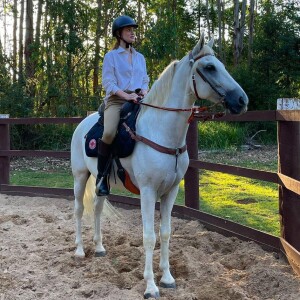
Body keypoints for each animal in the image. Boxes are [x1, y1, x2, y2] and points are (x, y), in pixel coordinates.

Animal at [71, 34, 248, 298]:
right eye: (209, 67)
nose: (241, 100)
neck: (162, 132)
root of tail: (82, 123)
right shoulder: (147, 192)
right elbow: (149, 236)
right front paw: (151, 286)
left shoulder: (170, 191)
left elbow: (165, 233)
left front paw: (167, 278)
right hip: (80, 177)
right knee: (79, 210)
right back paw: (80, 250)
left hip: (102, 182)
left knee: (98, 208)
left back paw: (100, 247)